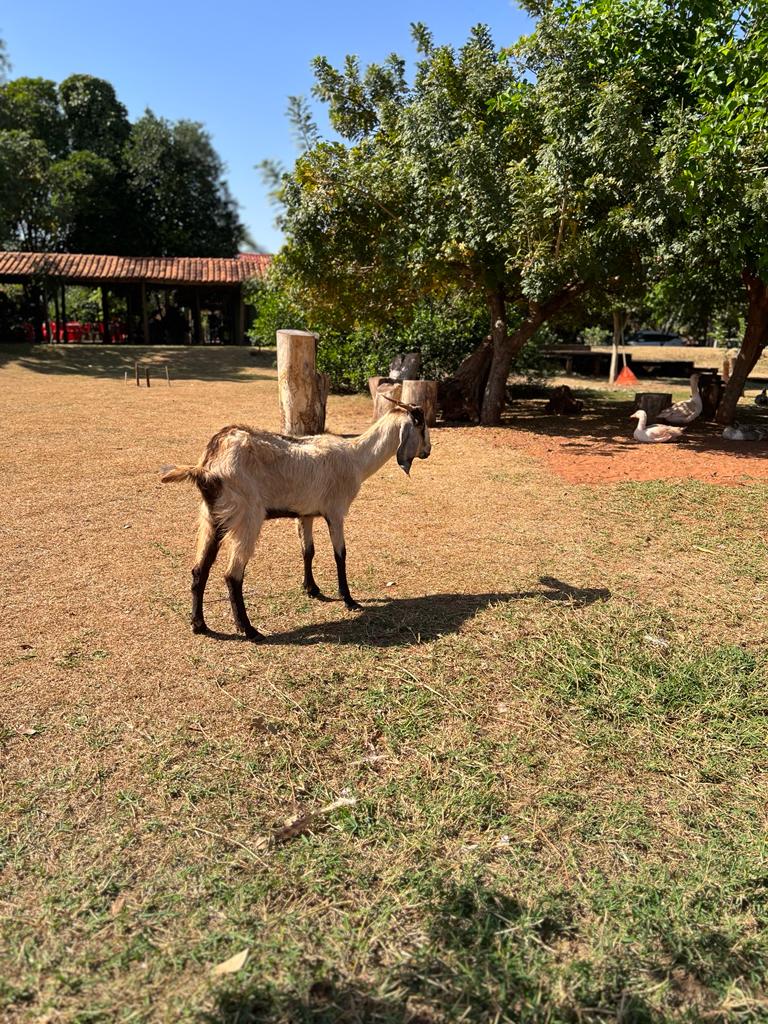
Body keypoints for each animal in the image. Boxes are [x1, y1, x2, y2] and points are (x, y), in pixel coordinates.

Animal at [160, 401, 434, 634]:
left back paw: (199, 625)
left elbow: (307, 551)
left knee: (199, 570)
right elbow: (340, 555)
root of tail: (208, 465)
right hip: (246, 517)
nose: (428, 451)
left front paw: (311, 589)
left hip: (212, 518)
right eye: (421, 425)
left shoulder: (306, 513)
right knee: (232, 574)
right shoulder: (336, 511)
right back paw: (248, 629)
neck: (355, 457)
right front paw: (349, 600)